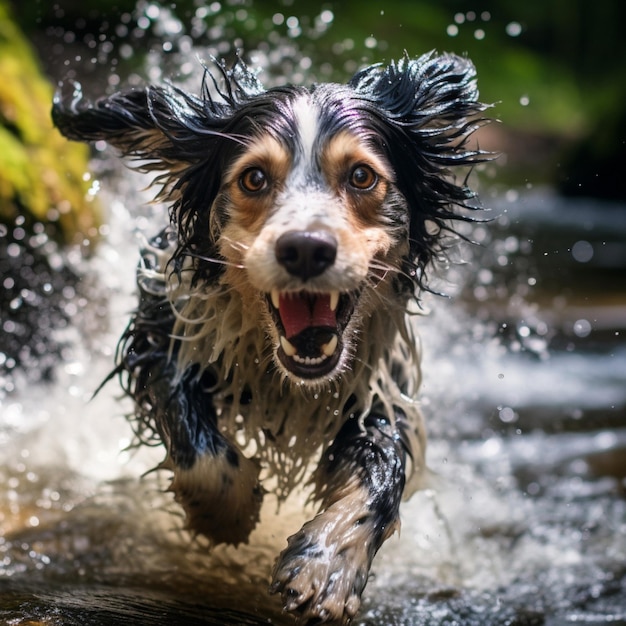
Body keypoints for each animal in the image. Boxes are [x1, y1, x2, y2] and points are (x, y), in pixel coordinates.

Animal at [52, 51, 488, 620]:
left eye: (362, 176)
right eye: (254, 178)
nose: (305, 248)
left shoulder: (379, 390)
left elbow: (379, 476)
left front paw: (326, 570)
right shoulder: (165, 338)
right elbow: (202, 456)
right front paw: (225, 516)